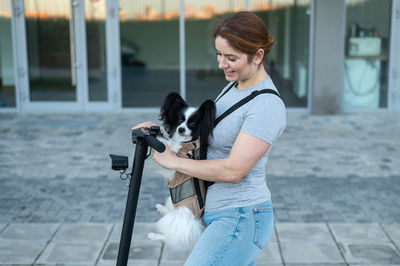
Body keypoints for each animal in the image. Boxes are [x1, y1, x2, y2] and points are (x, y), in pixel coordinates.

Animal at [147, 92, 216, 251]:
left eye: (192, 123)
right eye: (180, 120)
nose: (181, 129)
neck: (185, 143)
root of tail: (196, 222)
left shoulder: (174, 159)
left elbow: (169, 146)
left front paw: (162, 139)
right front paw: (161, 131)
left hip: (178, 219)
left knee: (171, 235)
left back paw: (154, 235)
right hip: (172, 202)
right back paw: (161, 208)